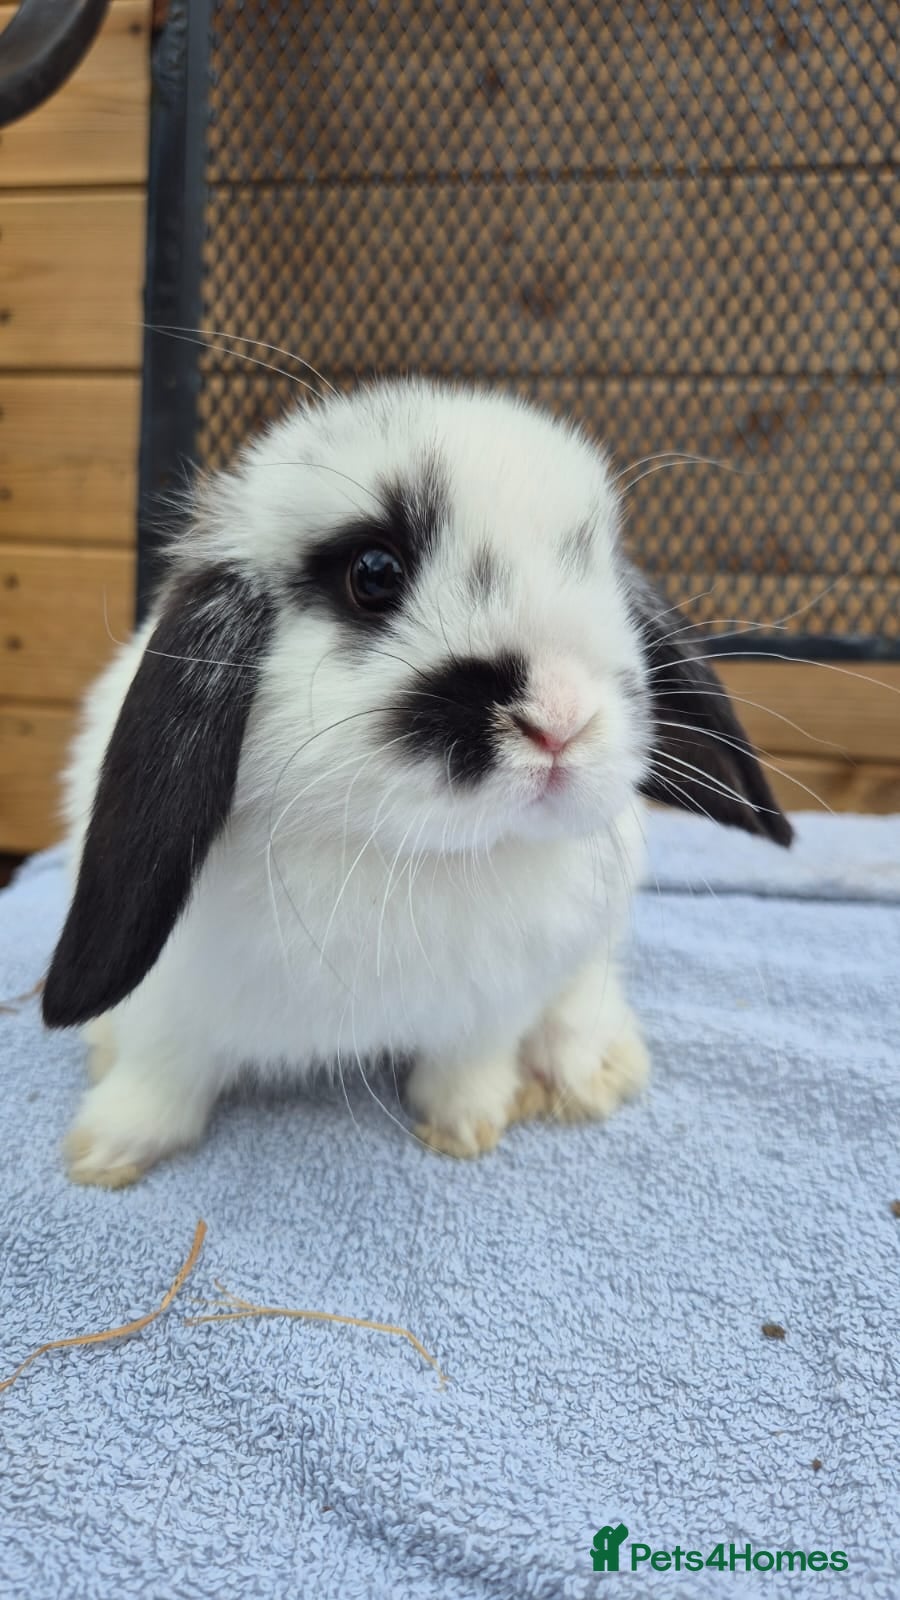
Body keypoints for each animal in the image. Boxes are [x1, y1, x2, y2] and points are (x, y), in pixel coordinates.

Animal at [42, 378, 791, 1187]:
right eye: (374, 573)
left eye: (600, 576)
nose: (561, 720)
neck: (410, 857)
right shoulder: (171, 1000)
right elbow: (162, 1070)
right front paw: (105, 1152)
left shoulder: (494, 1005)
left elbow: (470, 1061)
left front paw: (467, 1126)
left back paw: (592, 1073)